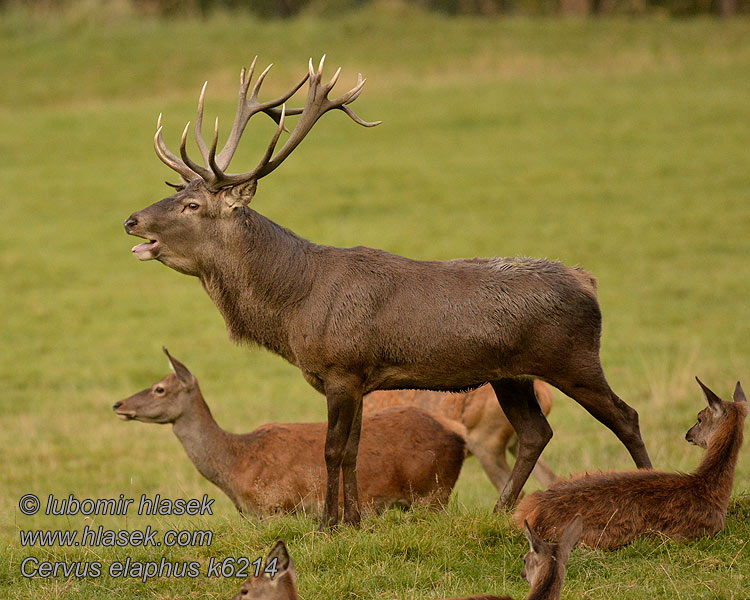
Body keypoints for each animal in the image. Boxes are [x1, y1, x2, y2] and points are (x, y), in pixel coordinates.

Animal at [112, 350, 468, 512]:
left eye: (159, 389)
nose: (118, 404)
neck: (235, 468)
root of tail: (459, 435)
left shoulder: (277, 507)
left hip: (433, 493)